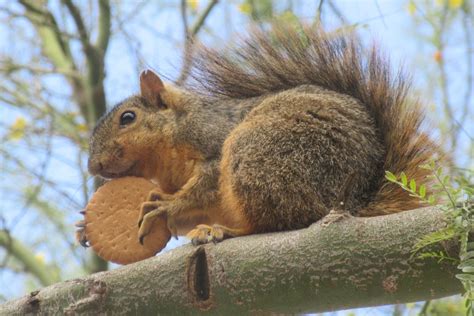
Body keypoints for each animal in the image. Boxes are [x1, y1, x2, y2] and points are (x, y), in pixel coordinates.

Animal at [80, 24, 440, 247]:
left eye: (128, 118)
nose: (93, 166)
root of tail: (355, 202)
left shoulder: (211, 139)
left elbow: (202, 187)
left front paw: (166, 204)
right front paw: (84, 226)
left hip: (257, 152)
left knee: (277, 222)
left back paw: (223, 231)